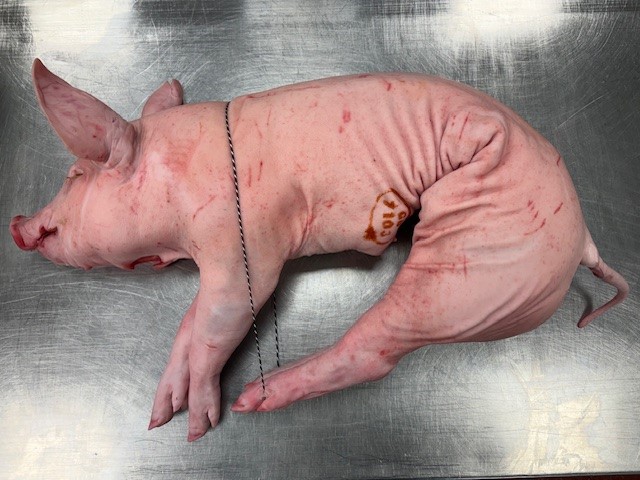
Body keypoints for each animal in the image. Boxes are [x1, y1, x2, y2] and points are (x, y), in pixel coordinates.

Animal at [10, 59, 629, 442]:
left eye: (73, 174)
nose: (17, 225)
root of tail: (583, 241)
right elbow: (191, 324)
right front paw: (160, 416)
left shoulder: (248, 248)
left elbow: (219, 326)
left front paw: (198, 427)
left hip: (478, 267)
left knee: (375, 351)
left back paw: (255, 401)